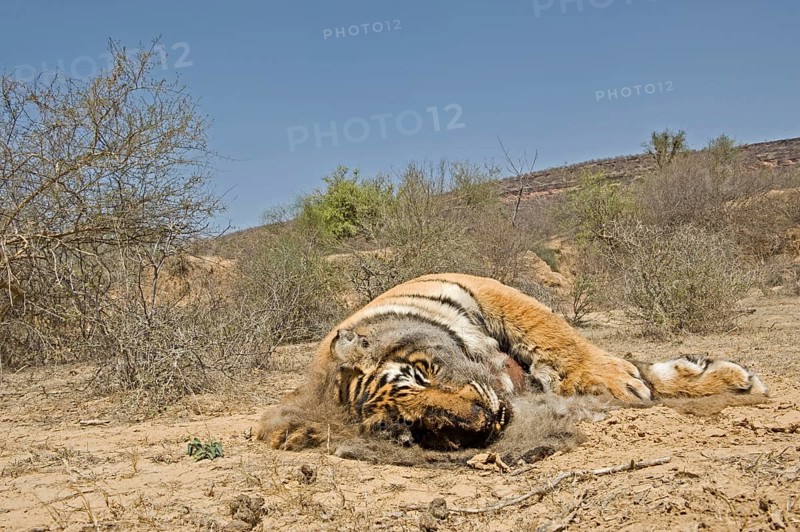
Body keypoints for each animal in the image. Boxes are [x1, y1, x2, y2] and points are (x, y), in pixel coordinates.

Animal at [256, 273, 768, 451]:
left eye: (421, 373)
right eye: (407, 427)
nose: (482, 419)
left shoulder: (483, 289)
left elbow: (556, 336)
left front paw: (622, 381)